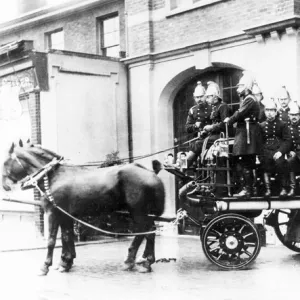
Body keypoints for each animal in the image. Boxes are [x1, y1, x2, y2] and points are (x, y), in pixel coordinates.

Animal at [1, 142, 164, 276]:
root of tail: (150, 172)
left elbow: (52, 240)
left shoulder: (53, 213)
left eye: (5, 162)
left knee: (142, 232)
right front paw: (65, 262)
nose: (5, 186)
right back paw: (147, 261)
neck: (54, 176)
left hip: (138, 211)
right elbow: (67, 236)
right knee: (150, 232)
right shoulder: (65, 214)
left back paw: (130, 261)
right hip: (146, 213)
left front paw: (46, 266)